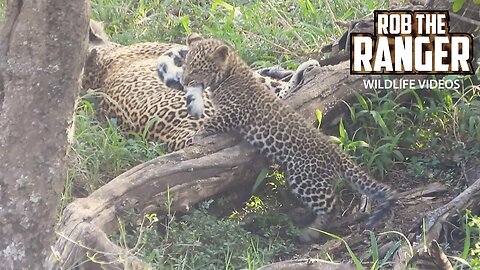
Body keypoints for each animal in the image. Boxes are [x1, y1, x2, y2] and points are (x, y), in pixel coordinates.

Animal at [180, 33, 398, 240]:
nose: (183, 82)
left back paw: (311, 231)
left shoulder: (235, 112)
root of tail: (337, 153)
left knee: (333, 206)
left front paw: (197, 134)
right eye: (186, 65)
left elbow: (211, 122)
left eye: (198, 69)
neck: (230, 73)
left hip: (305, 177)